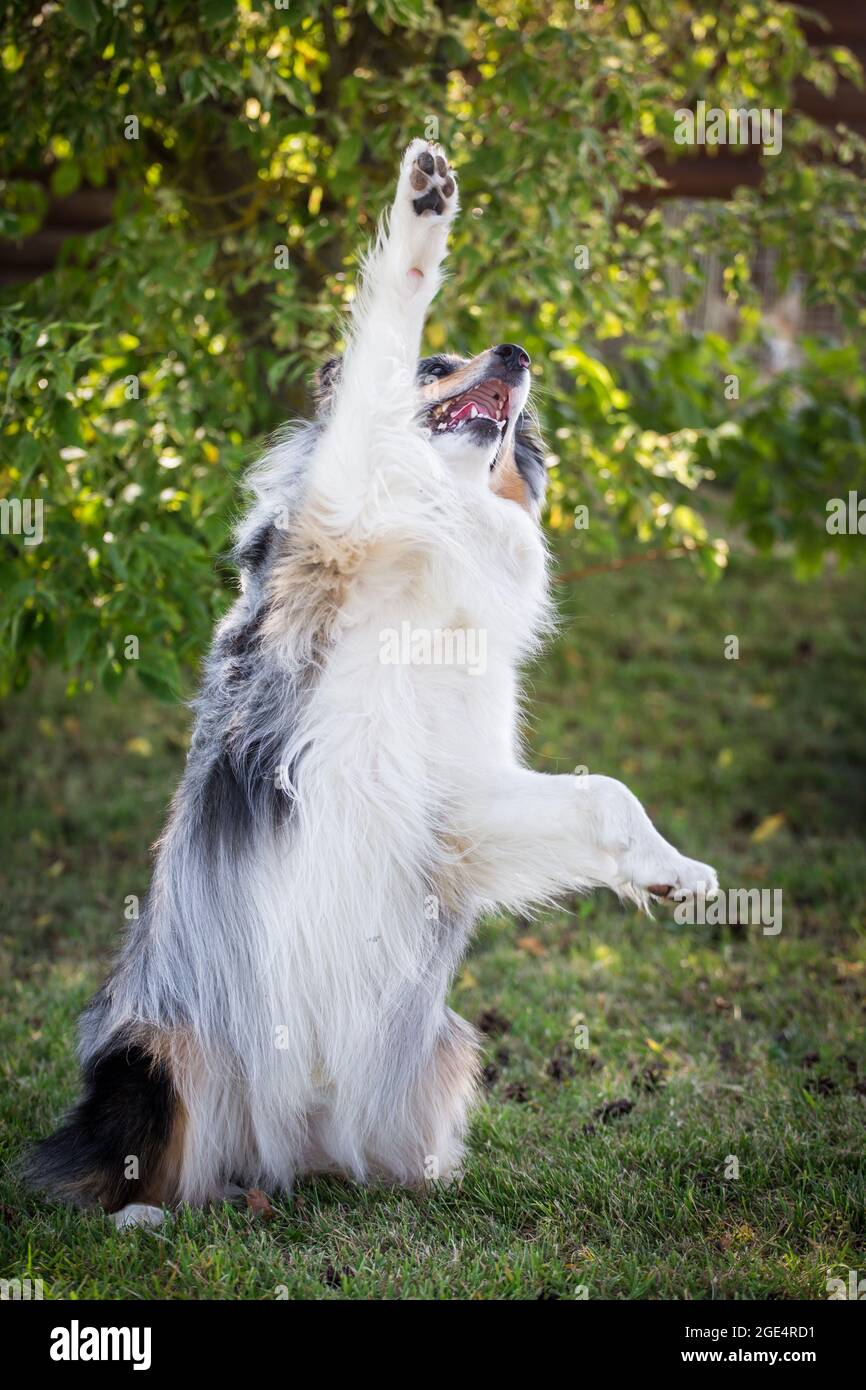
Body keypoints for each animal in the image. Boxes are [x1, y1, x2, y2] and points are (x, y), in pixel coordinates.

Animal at [27, 141, 717, 1228]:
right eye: (438, 365)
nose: (517, 354)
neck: (433, 524)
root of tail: (280, 1155)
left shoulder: (454, 799)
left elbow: (602, 793)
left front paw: (671, 871)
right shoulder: (342, 496)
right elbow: (385, 325)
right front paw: (424, 204)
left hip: (440, 1051)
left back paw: (418, 1178)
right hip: (156, 1053)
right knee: (118, 1166)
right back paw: (141, 1216)